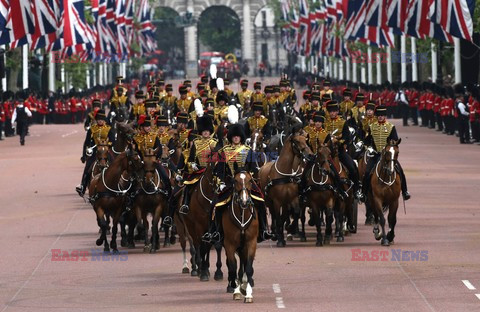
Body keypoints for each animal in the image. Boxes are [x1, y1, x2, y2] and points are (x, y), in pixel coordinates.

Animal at [224, 168, 258, 302]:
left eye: (250, 180)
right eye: (235, 181)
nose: (244, 201)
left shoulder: (251, 243)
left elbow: (248, 268)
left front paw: (248, 294)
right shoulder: (229, 244)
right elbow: (233, 267)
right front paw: (236, 290)